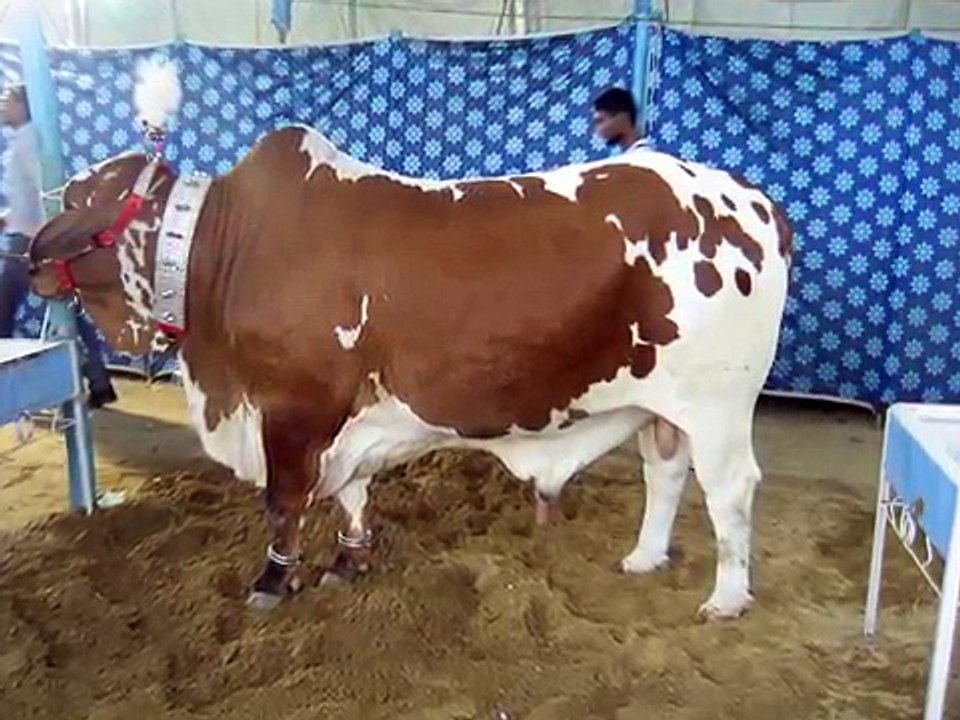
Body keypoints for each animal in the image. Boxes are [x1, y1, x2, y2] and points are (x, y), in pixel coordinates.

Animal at [28, 123, 791, 619]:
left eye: (78, 199)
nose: (30, 254)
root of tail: (753, 199)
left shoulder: (293, 408)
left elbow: (283, 500)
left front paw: (274, 581)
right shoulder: (344, 421)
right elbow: (351, 493)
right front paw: (348, 560)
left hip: (719, 403)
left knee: (731, 490)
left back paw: (727, 597)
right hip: (662, 407)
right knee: (665, 472)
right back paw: (644, 557)